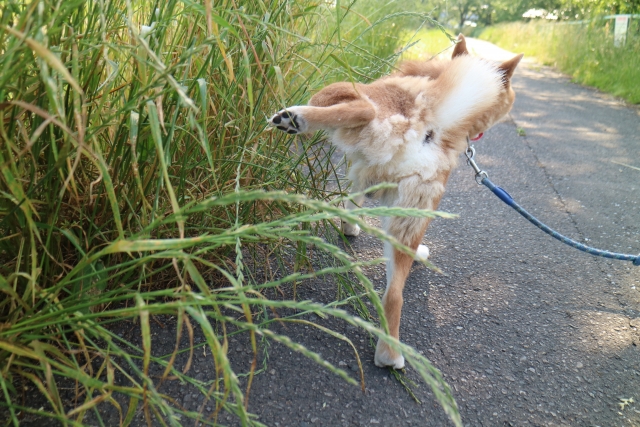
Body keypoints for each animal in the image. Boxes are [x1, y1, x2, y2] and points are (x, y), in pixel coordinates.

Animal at [268, 35, 524, 370]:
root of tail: (430, 125)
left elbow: (351, 202)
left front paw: (348, 228)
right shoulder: (364, 174)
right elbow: (355, 202)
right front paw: (351, 226)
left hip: (349, 94)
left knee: (362, 108)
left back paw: (296, 118)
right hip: (410, 221)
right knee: (394, 295)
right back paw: (390, 353)